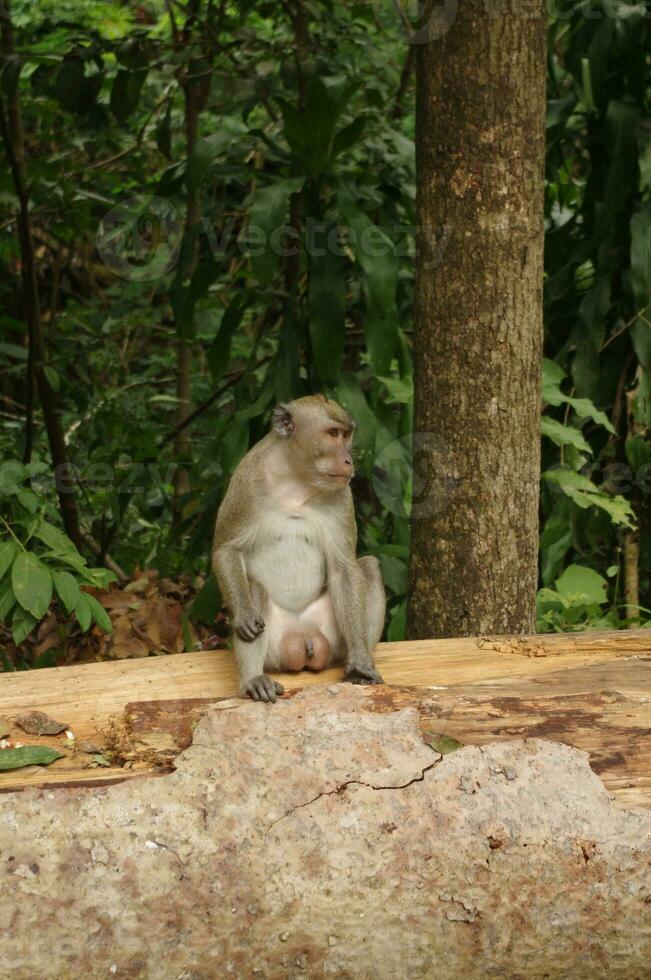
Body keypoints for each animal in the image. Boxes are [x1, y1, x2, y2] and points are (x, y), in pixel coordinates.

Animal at [212, 395, 385, 703]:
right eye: (332, 434)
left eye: (346, 435)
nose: (348, 460)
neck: (296, 478)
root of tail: (302, 637)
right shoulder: (245, 480)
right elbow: (226, 549)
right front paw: (244, 615)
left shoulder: (342, 494)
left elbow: (345, 569)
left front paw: (361, 664)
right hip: (275, 649)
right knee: (254, 588)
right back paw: (253, 680)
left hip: (330, 636)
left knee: (368, 567)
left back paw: (356, 661)